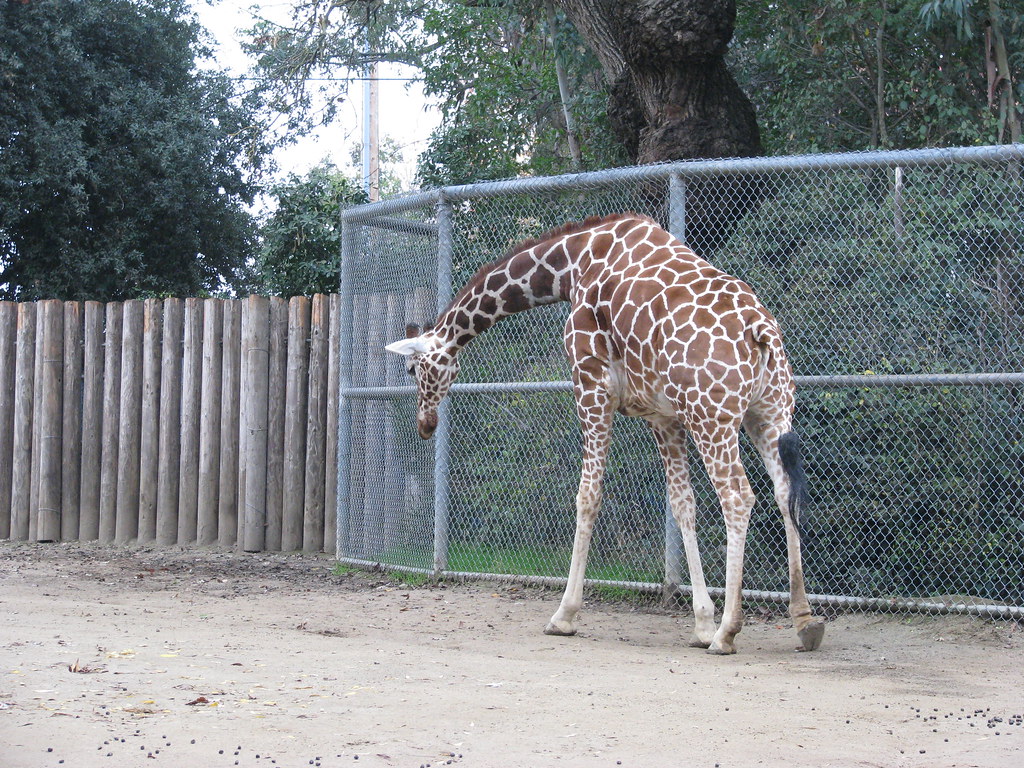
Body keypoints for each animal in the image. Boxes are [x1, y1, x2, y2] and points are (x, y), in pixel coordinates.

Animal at [385, 211, 823, 655]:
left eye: (411, 369)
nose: (425, 425)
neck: (570, 264)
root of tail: (760, 330)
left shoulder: (591, 384)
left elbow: (588, 495)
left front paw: (564, 615)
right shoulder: (662, 416)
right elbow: (682, 504)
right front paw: (701, 622)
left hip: (711, 416)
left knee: (738, 496)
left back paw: (729, 631)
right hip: (767, 412)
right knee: (784, 491)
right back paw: (804, 620)